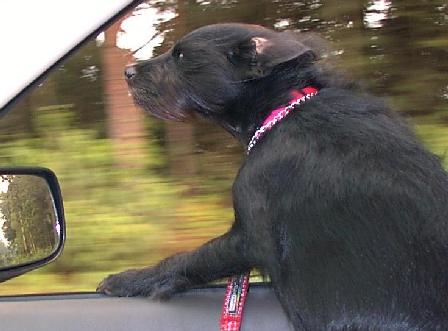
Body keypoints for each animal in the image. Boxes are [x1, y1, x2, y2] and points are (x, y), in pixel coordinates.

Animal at [97, 24, 448, 331]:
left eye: (181, 56)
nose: (127, 72)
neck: (283, 107)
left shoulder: (248, 234)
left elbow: (187, 259)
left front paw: (128, 279)